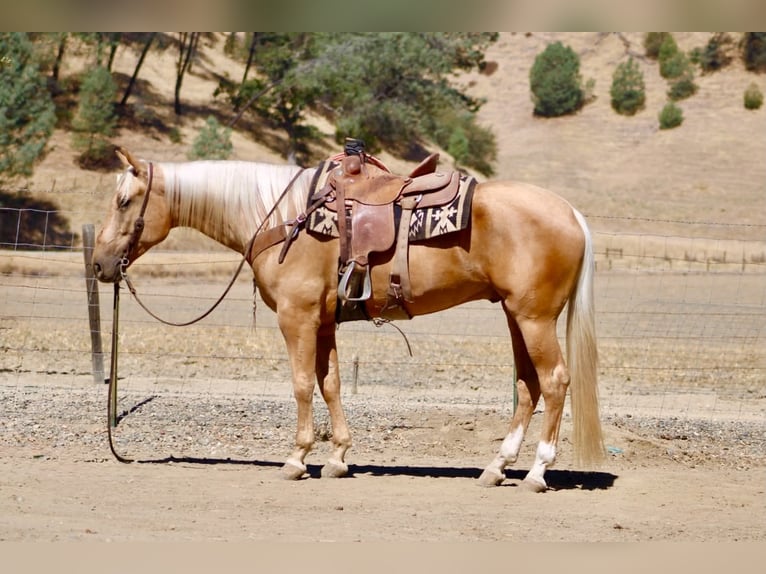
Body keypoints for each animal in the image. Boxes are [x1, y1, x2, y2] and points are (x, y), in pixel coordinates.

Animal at [92, 147, 604, 491]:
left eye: (123, 202)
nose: (99, 264)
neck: (283, 217)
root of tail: (571, 213)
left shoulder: (297, 318)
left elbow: (302, 384)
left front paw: (297, 458)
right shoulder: (322, 322)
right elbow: (331, 383)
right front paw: (338, 456)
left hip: (534, 318)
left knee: (554, 381)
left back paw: (537, 471)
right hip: (516, 316)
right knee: (528, 386)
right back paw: (497, 467)